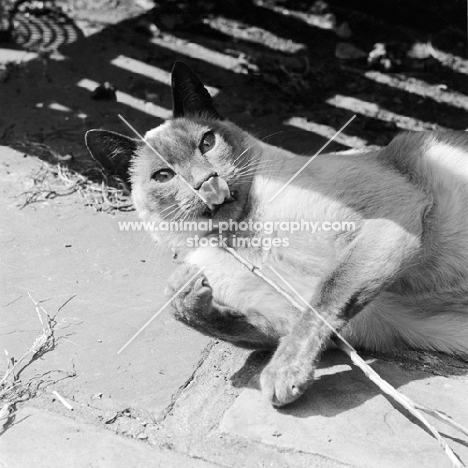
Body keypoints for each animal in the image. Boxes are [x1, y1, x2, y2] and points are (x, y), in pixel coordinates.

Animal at [86, 61, 468, 406]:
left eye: (206, 143)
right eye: (164, 176)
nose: (207, 182)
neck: (243, 232)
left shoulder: (389, 220)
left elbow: (327, 297)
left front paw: (284, 376)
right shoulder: (343, 324)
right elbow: (227, 322)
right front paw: (185, 293)